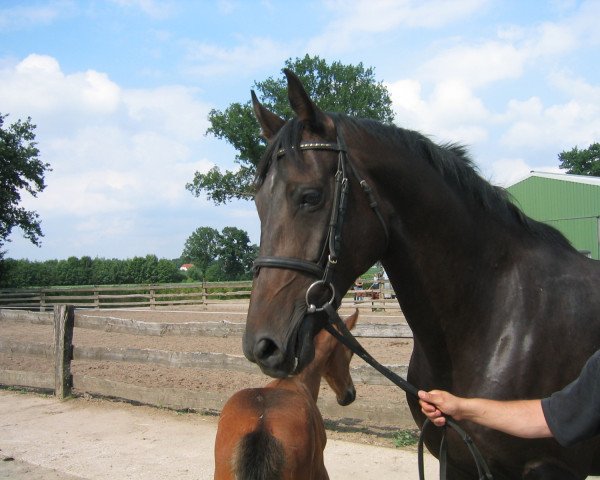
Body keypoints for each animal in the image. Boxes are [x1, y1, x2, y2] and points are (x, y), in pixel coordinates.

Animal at [244, 69, 600, 478]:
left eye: (310, 197)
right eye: (258, 202)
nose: (261, 346)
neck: (499, 315)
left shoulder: (549, 467)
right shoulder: (457, 462)